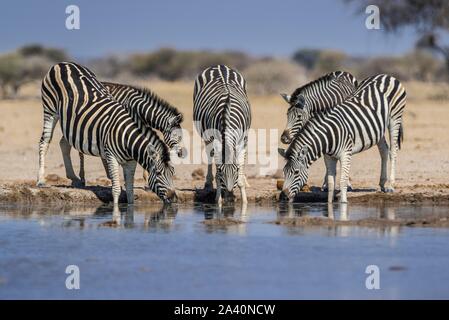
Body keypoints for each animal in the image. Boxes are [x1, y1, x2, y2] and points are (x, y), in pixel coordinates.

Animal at [37, 61, 177, 204]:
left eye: (173, 173)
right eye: (159, 173)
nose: (174, 198)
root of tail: (63, 63)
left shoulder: (130, 162)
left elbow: (130, 192)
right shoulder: (112, 155)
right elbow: (116, 189)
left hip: (70, 122)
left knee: (65, 143)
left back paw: (75, 178)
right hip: (50, 109)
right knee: (45, 141)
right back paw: (42, 180)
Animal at [278, 73, 404, 202]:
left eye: (296, 172)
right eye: (284, 172)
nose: (283, 197)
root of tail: (385, 75)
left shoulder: (344, 153)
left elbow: (342, 180)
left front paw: (344, 198)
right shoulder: (328, 155)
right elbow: (331, 182)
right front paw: (329, 196)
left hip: (395, 118)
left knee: (393, 151)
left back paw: (390, 186)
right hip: (378, 127)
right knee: (384, 150)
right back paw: (382, 183)